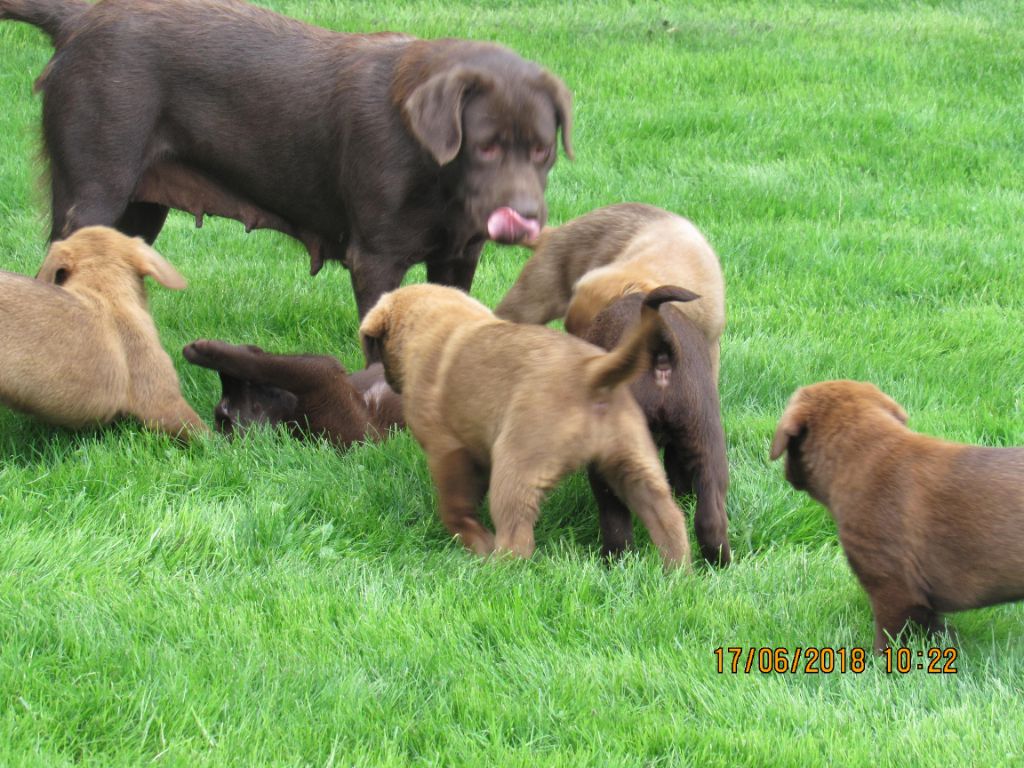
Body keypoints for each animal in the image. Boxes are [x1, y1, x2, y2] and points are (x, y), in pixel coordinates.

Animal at [581, 290, 733, 569]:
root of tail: (661, 350)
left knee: (614, 515)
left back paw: (615, 560)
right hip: (706, 437)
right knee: (710, 518)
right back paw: (719, 563)